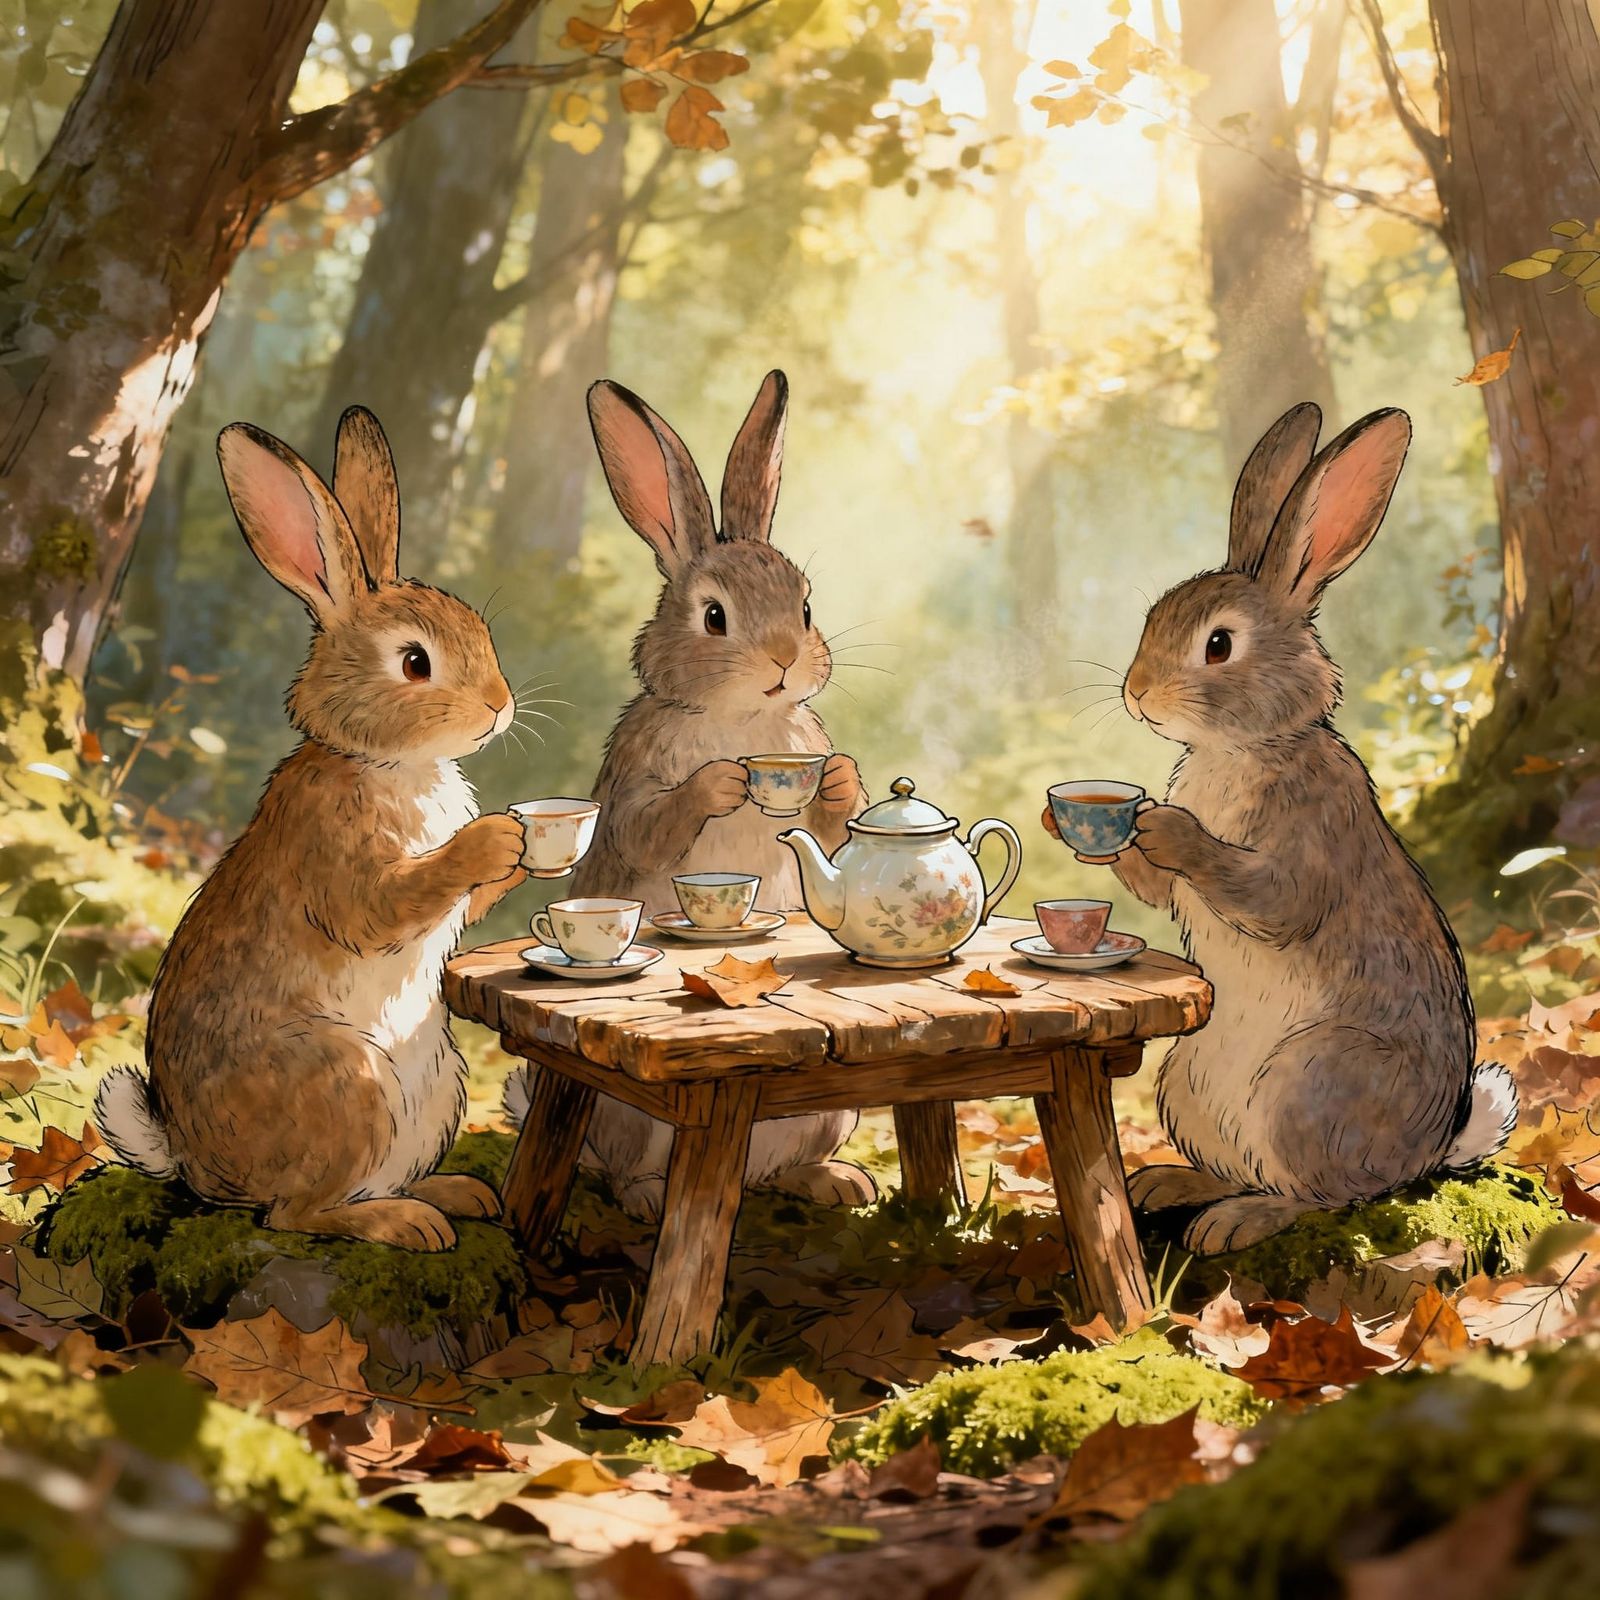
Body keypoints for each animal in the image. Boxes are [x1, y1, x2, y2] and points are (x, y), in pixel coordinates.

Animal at [94, 407, 528, 1252]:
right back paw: (411, 1225)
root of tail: (195, 1163)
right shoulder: (334, 855)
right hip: (344, 1083)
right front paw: (497, 838)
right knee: (294, 1213)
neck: (385, 762)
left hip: (433, 1084)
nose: (499, 706)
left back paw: (459, 1196)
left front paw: (525, 850)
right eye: (416, 663)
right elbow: (386, 903)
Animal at [504, 372, 876, 1221]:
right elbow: (651, 823)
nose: (785, 658)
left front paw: (841, 778)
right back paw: (645, 1199)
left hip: (827, 1111)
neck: (744, 719)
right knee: (623, 1166)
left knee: (781, 1166)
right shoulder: (634, 784)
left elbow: (833, 824)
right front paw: (720, 783)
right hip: (634, 1120)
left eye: (806, 607)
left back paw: (835, 1183)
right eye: (714, 617)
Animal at [1045, 403, 1516, 1256]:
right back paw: (1173, 1184)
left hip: (1310, 1086)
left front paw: (1171, 828)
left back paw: (1235, 1223)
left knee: (1325, 1195)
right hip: (1188, 1080)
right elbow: (1155, 888)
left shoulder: (1309, 842)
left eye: (1219, 645)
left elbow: (1269, 896)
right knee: (1246, 1167)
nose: (1137, 696)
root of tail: (1430, 1149)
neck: (1246, 744)